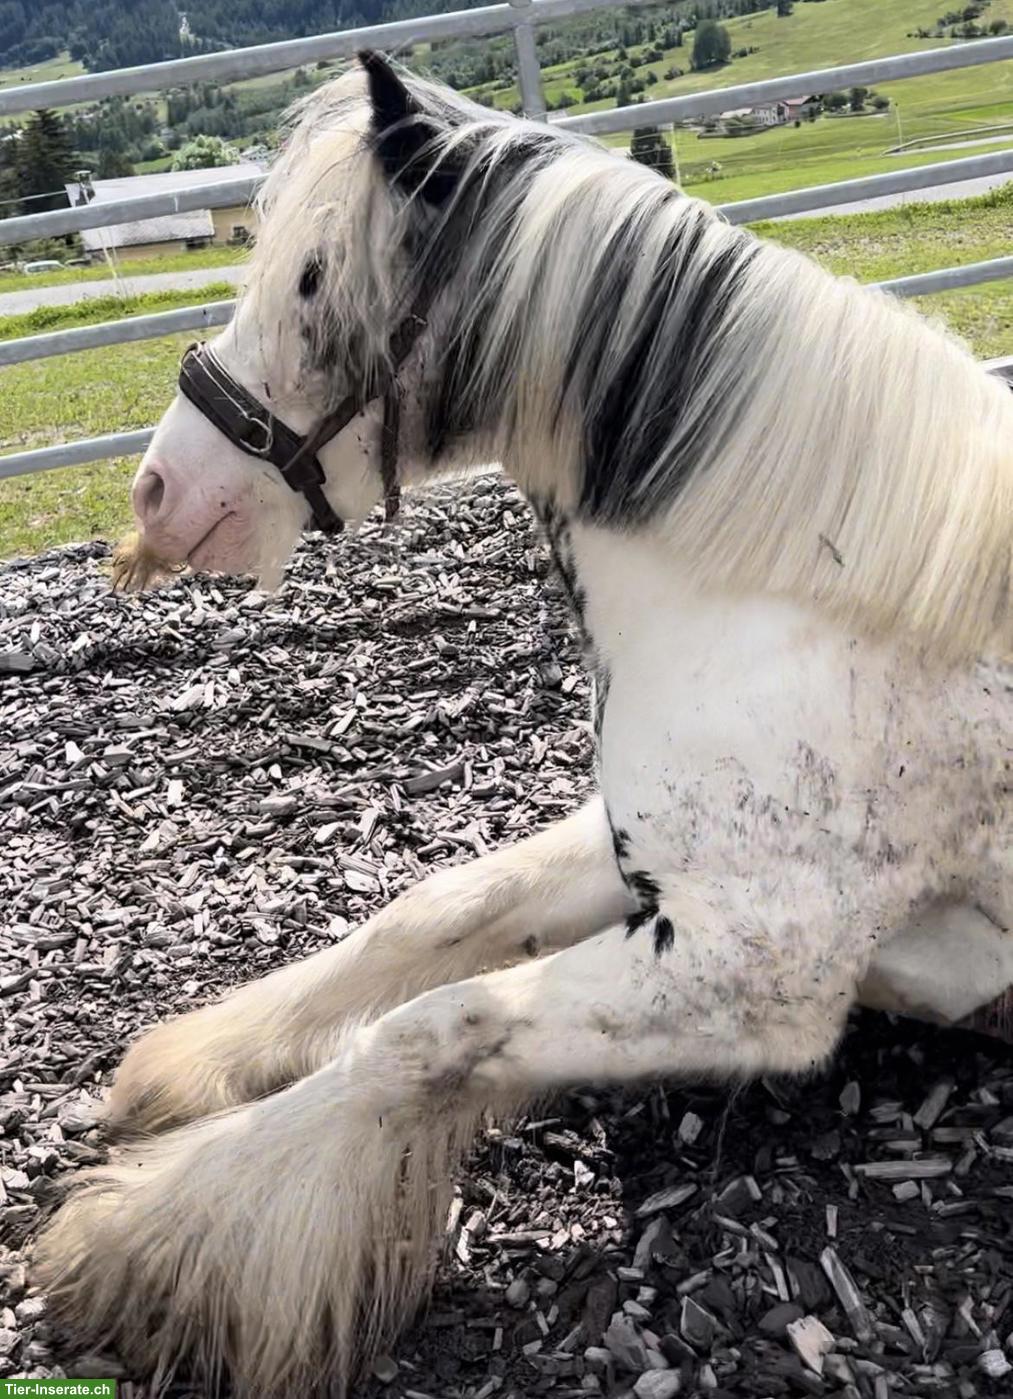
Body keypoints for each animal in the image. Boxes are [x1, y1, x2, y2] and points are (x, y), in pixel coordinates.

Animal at [36, 51, 1012, 1399]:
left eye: (312, 276)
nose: (156, 492)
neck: (814, 588)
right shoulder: (631, 849)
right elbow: (434, 910)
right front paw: (188, 1064)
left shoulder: (753, 979)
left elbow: (425, 1032)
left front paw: (152, 1238)